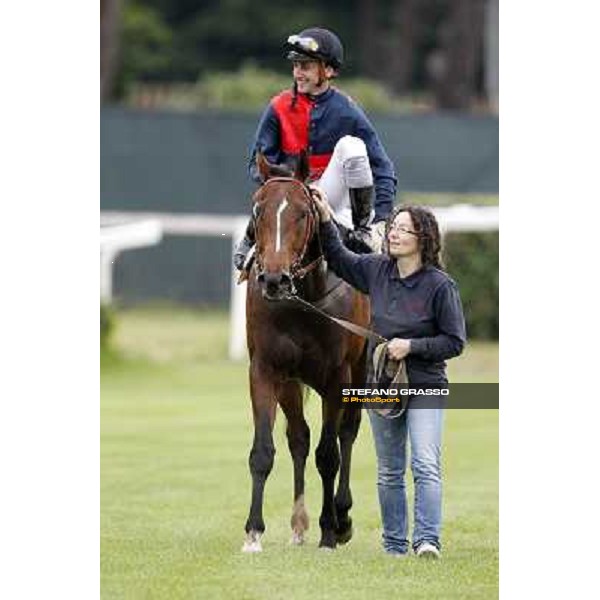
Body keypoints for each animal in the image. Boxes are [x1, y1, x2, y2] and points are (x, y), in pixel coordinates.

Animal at [241, 151, 368, 552]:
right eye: (257, 210)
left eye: (302, 212)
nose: (274, 279)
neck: (305, 298)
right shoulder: (266, 369)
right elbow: (263, 451)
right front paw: (253, 532)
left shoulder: (337, 377)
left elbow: (329, 454)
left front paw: (330, 530)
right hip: (291, 382)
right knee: (299, 436)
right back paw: (298, 524)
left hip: (361, 370)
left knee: (347, 432)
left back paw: (341, 517)